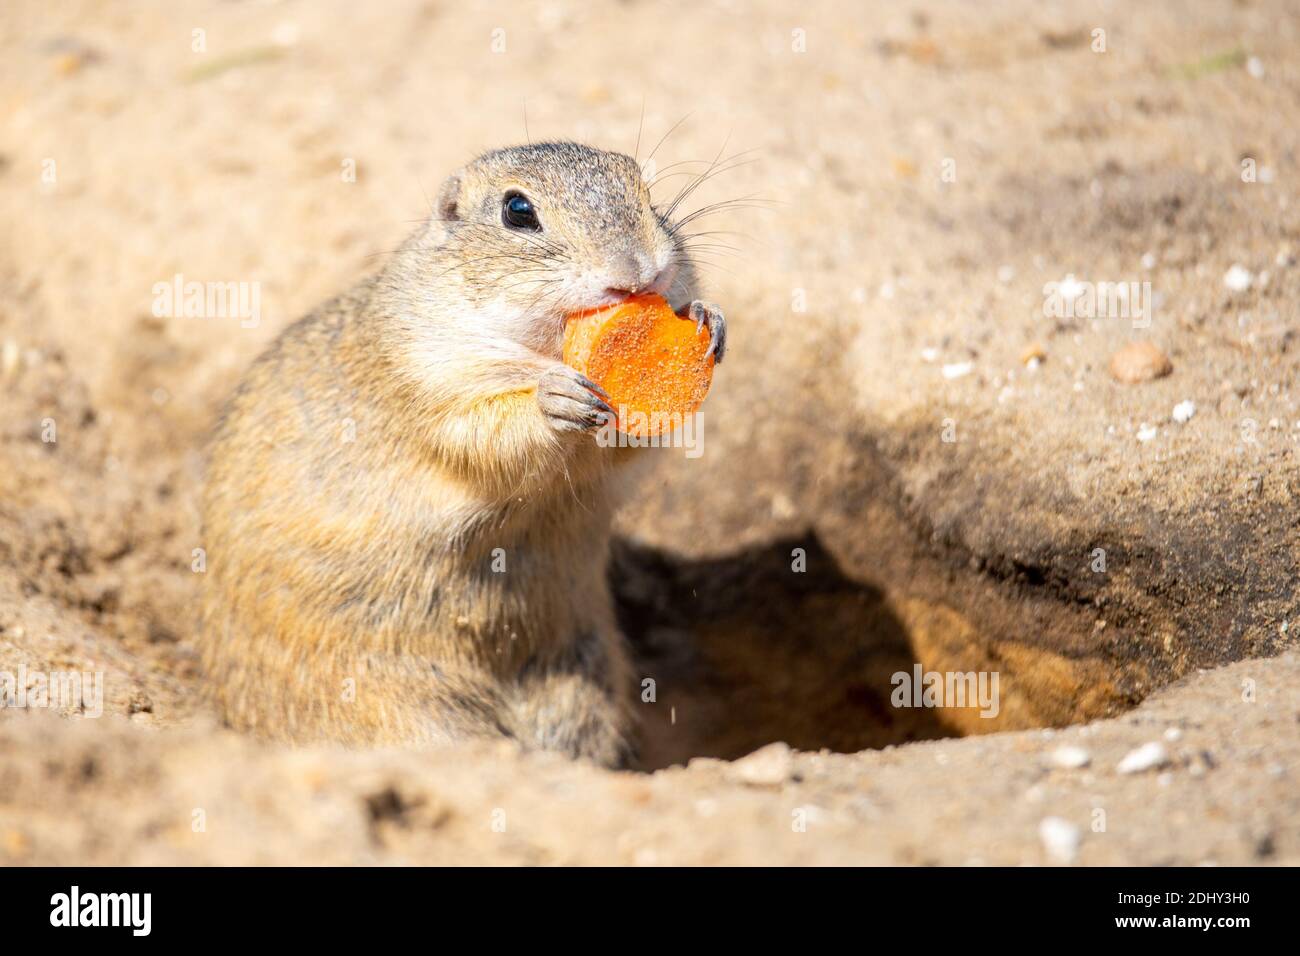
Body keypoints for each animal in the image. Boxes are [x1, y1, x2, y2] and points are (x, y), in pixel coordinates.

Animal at [199, 142, 726, 768]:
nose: (639, 272)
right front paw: (554, 399)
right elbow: (485, 433)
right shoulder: (429, 377)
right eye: (518, 210)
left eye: (645, 189)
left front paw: (708, 320)